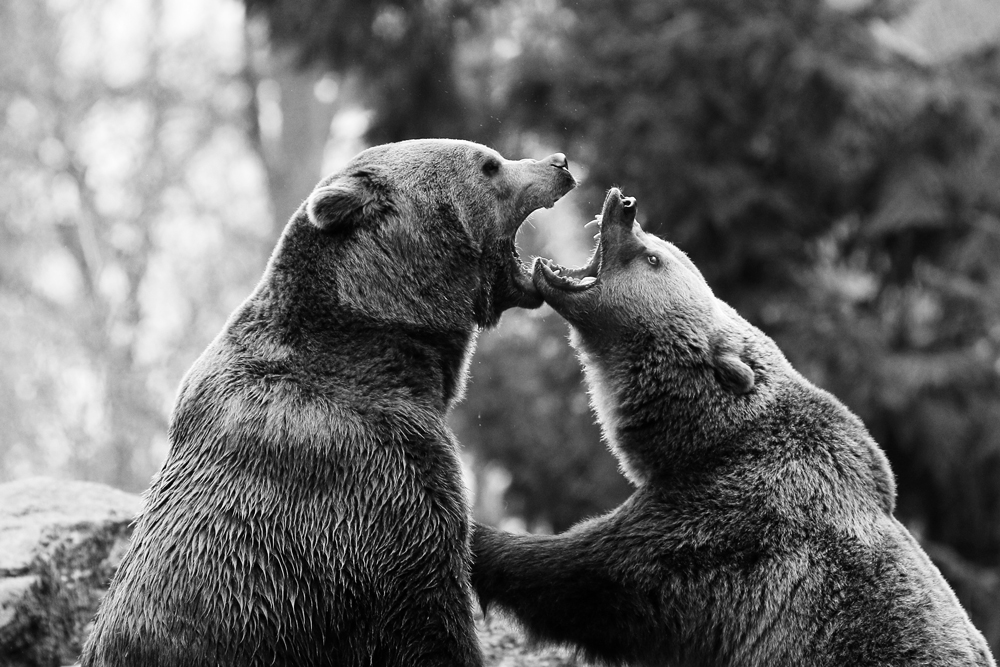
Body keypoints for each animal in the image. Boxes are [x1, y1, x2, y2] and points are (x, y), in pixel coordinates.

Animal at [471, 188, 996, 667]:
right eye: (658, 244)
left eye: (653, 257)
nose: (624, 205)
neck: (700, 438)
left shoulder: (729, 522)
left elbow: (594, 575)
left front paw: (483, 540)